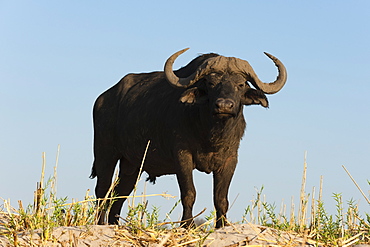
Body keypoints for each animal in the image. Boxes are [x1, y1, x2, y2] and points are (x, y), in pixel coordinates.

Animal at [89, 48, 286, 228]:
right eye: (210, 82)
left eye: (241, 84)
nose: (224, 105)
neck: (210, 134)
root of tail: (103, 99)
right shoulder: (182, 156)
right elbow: (189, 193)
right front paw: (187, 224)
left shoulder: (229, 159)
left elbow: (221, 198)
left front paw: (222, 225)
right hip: (105, 153)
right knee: (102, 189)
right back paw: (100, 223)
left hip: (132, 165)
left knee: (119, 194)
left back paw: (114, 224)